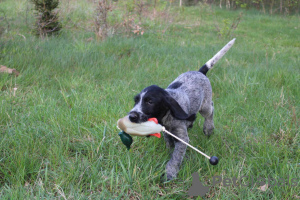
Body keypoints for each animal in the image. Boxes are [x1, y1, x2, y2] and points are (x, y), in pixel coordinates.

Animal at [127, 38, 236, 181]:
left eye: (150, 102)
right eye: (136, 100)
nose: (131, 116)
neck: (166, 117)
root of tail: (199, 72)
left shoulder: (182, 138)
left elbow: (175, 157)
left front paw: (170, 172)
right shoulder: (167, 133)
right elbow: (170, 146)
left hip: (205, 106)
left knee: (210, 110)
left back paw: (208, 128)